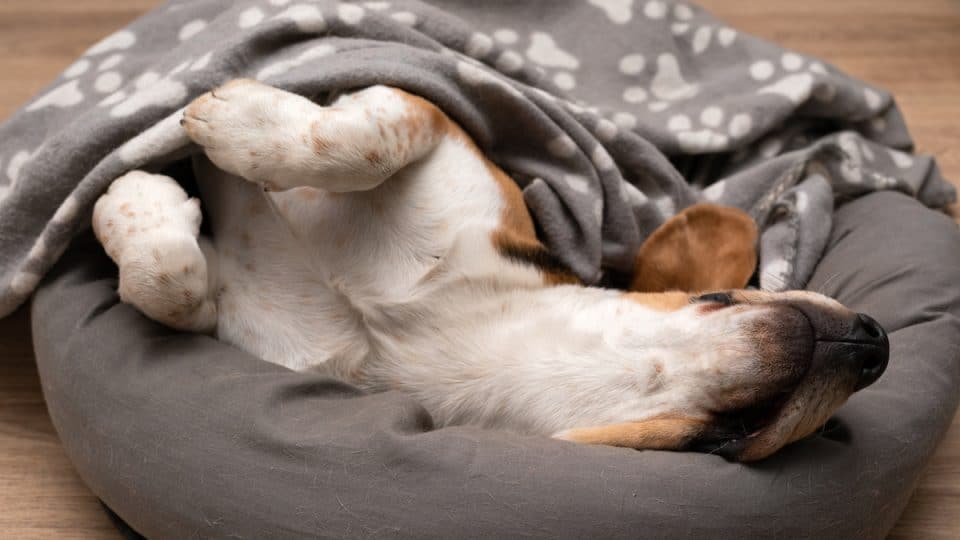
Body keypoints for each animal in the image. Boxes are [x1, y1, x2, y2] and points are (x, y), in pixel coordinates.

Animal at [94, 80, 888, 460]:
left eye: (730, 441)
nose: (874, 344)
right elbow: (359, 142)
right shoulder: (436, 127)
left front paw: (142, 200)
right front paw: (232, 129)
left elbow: (175, 287)